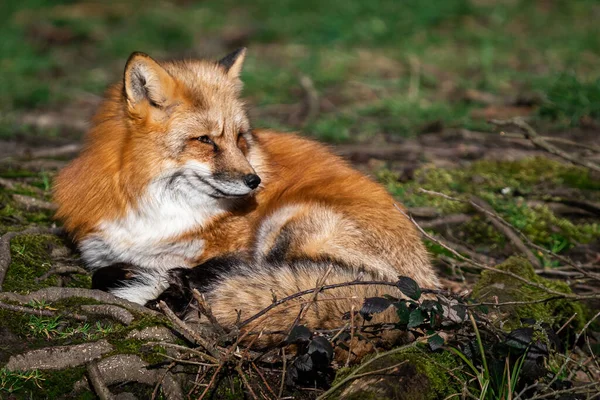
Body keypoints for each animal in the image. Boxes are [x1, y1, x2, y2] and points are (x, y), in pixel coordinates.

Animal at [54, 49, 438, 354]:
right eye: (204, 140)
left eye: (239, 138)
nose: (256, 181)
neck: (155, 212)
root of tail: (423, 292)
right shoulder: (101, 250)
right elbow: (105, 271)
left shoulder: (231, 251)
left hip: (285, 226)